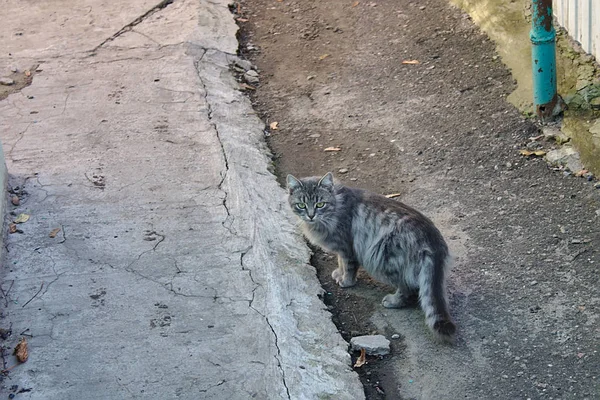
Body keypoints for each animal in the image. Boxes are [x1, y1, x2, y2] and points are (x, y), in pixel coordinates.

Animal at [288, 170, 458, 342]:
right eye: (301, 205)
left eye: (320, 204)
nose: (311, 216)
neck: (336, 206)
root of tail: (433, 239)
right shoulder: (342, 249)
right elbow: (340, 263)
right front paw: (339, 273)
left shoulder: (347, 247)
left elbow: (348, 267)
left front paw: (346, 281)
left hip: (384, 260)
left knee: (407, 287)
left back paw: (393, 301)